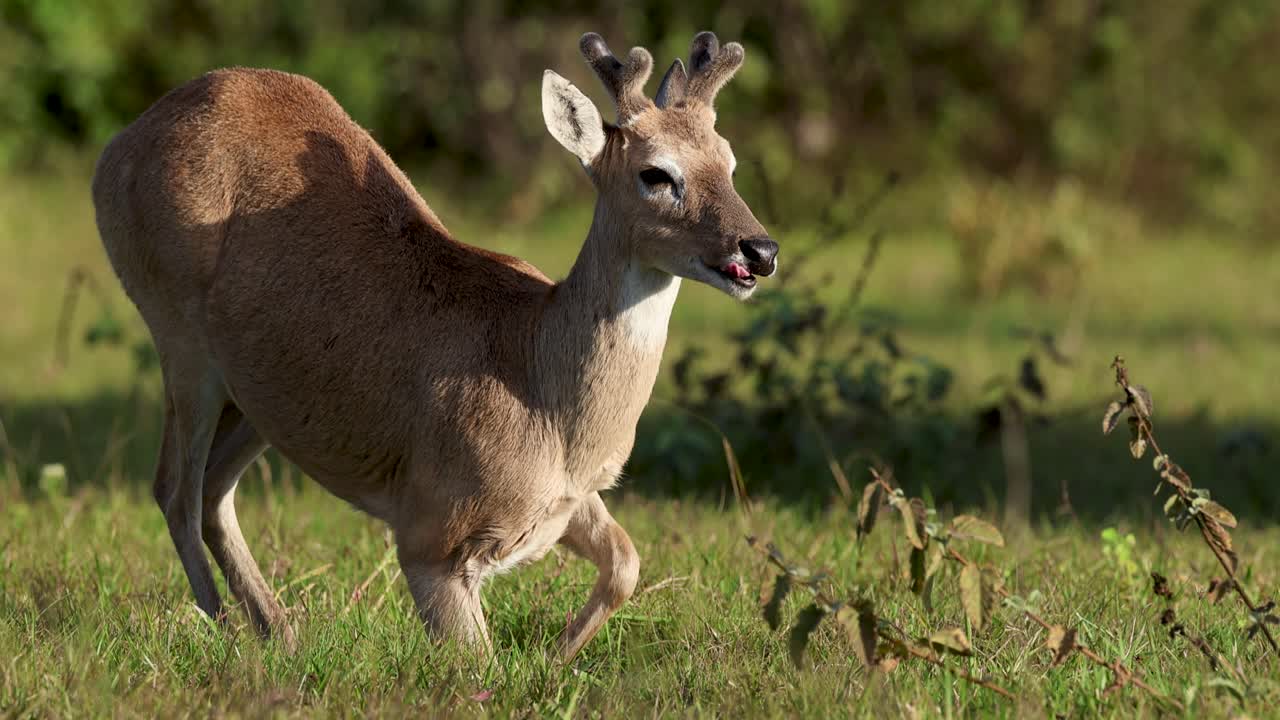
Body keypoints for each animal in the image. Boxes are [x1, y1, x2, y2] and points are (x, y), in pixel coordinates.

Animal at [90, 30, 776, 659]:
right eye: (655, 173)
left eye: (729, 162)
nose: (760, 250)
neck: (548, 403)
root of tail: (116, 148)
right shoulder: (431, 533)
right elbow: (480, 670)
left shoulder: (566, 505)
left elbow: (626, 563)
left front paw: (555, 657)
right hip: (179, 334)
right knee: (174, 488)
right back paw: (230, 632)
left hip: (261, 393)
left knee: (211, 491)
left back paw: (280, 631)